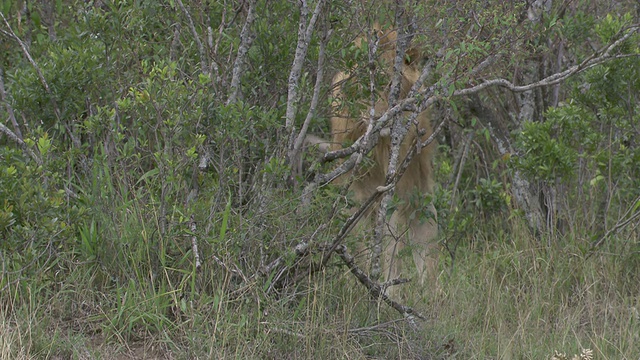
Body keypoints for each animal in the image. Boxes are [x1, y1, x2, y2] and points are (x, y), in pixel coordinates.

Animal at [330, 26, 440, 292]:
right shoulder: (355, 198)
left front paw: (386, 289)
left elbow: (390, 250)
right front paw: (354, 283)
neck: (377, 150)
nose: (383, 117)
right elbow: (357, 246)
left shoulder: (394, 199)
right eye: (370, 85)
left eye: (393, 84)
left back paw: (429, 292)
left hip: (419, 198)